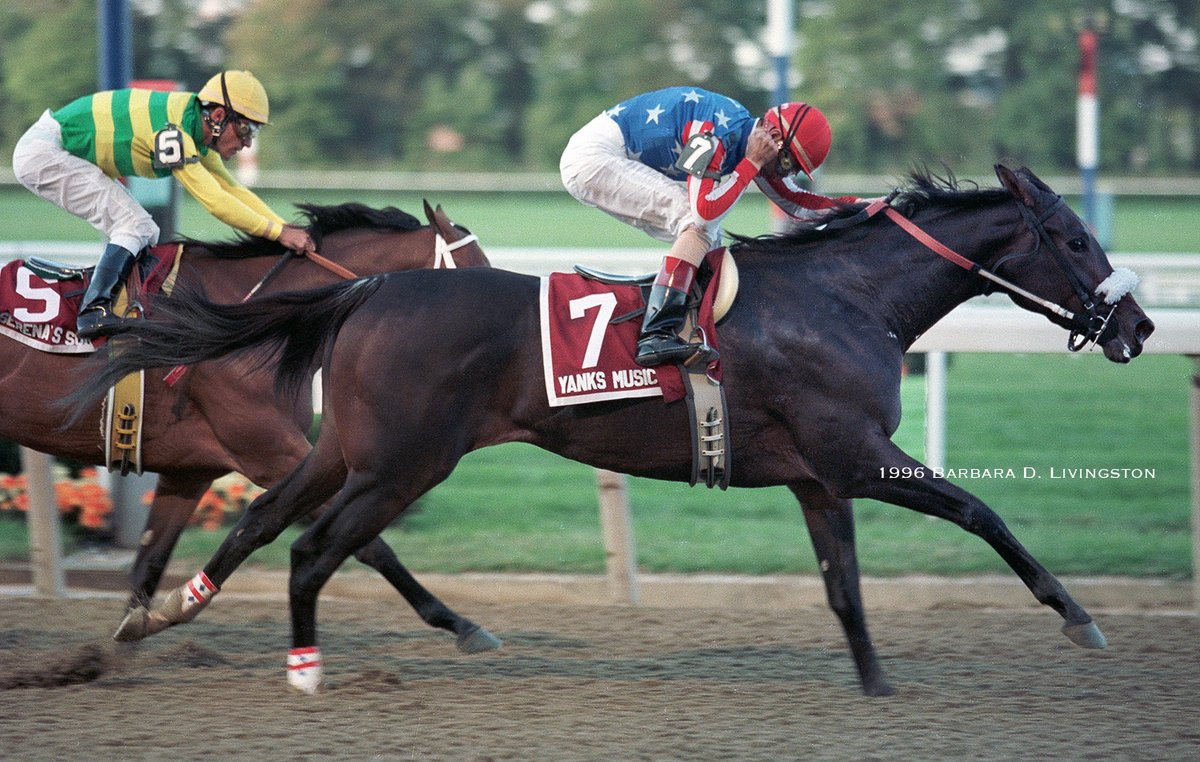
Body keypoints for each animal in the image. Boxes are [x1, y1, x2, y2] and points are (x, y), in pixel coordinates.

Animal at [9, 200, 501, 651]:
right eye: (475, 270)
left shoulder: (191, 470)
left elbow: (149, 561)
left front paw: (129, 638)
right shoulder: (269, 450)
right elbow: (368, 543)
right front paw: (459, 623)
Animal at [73, 165, 1155, 695]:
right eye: (1074, 238)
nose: (1140, 326)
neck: (846, 298)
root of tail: (370, 287)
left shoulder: (819, 478)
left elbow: (844, 587)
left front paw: (878, 684)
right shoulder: (857, 455)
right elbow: (982, 513)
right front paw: (1077, 615)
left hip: (346, 449)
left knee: (264, 523)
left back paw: (156, 619)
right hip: (405, 465)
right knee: (313, 549)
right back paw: (307, 672)